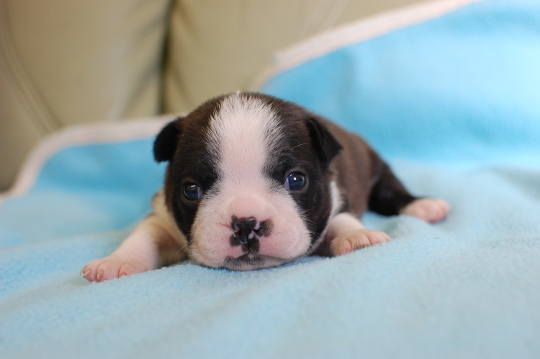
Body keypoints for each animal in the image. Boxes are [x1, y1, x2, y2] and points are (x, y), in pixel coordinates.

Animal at [82, 92, 450, 282]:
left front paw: (358, 237)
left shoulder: (334, 198)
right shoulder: (163, 216)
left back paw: (423, 205)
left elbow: (341, 220)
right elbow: (144, 236)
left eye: (296, 180)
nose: (246, 224)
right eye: (190, 190)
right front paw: (117, 261)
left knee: (390, 190)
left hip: (377, 166)